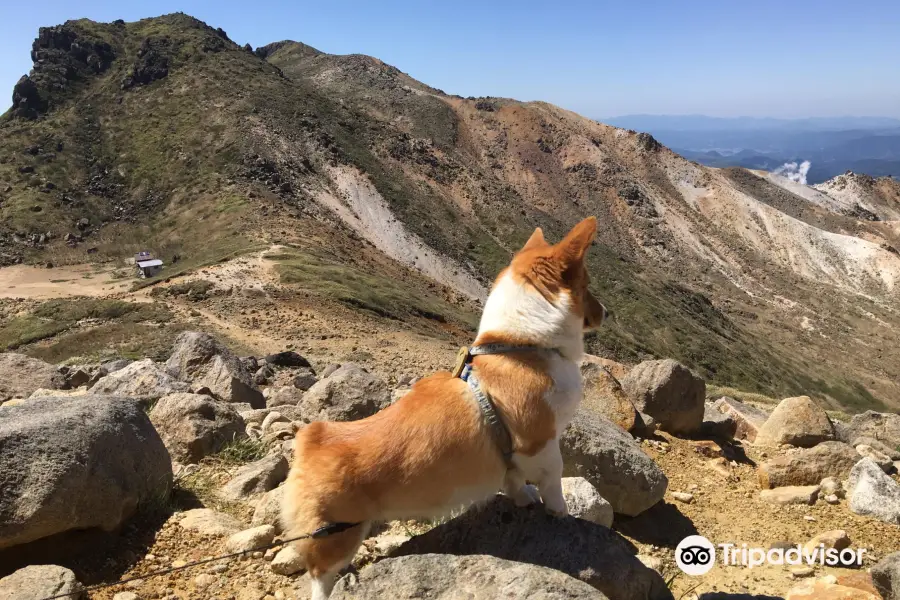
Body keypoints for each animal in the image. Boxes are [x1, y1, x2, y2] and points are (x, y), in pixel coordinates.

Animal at [282, 214, 604, 596]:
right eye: (587, 285)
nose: (606, 312)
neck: (519, 345)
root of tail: (311, 443)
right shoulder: (541, 443)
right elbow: (553, 482)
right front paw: (561, 512)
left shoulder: (512, 453)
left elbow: (515, 481)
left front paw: (524, 497)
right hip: (338, 535)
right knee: (320, 575)